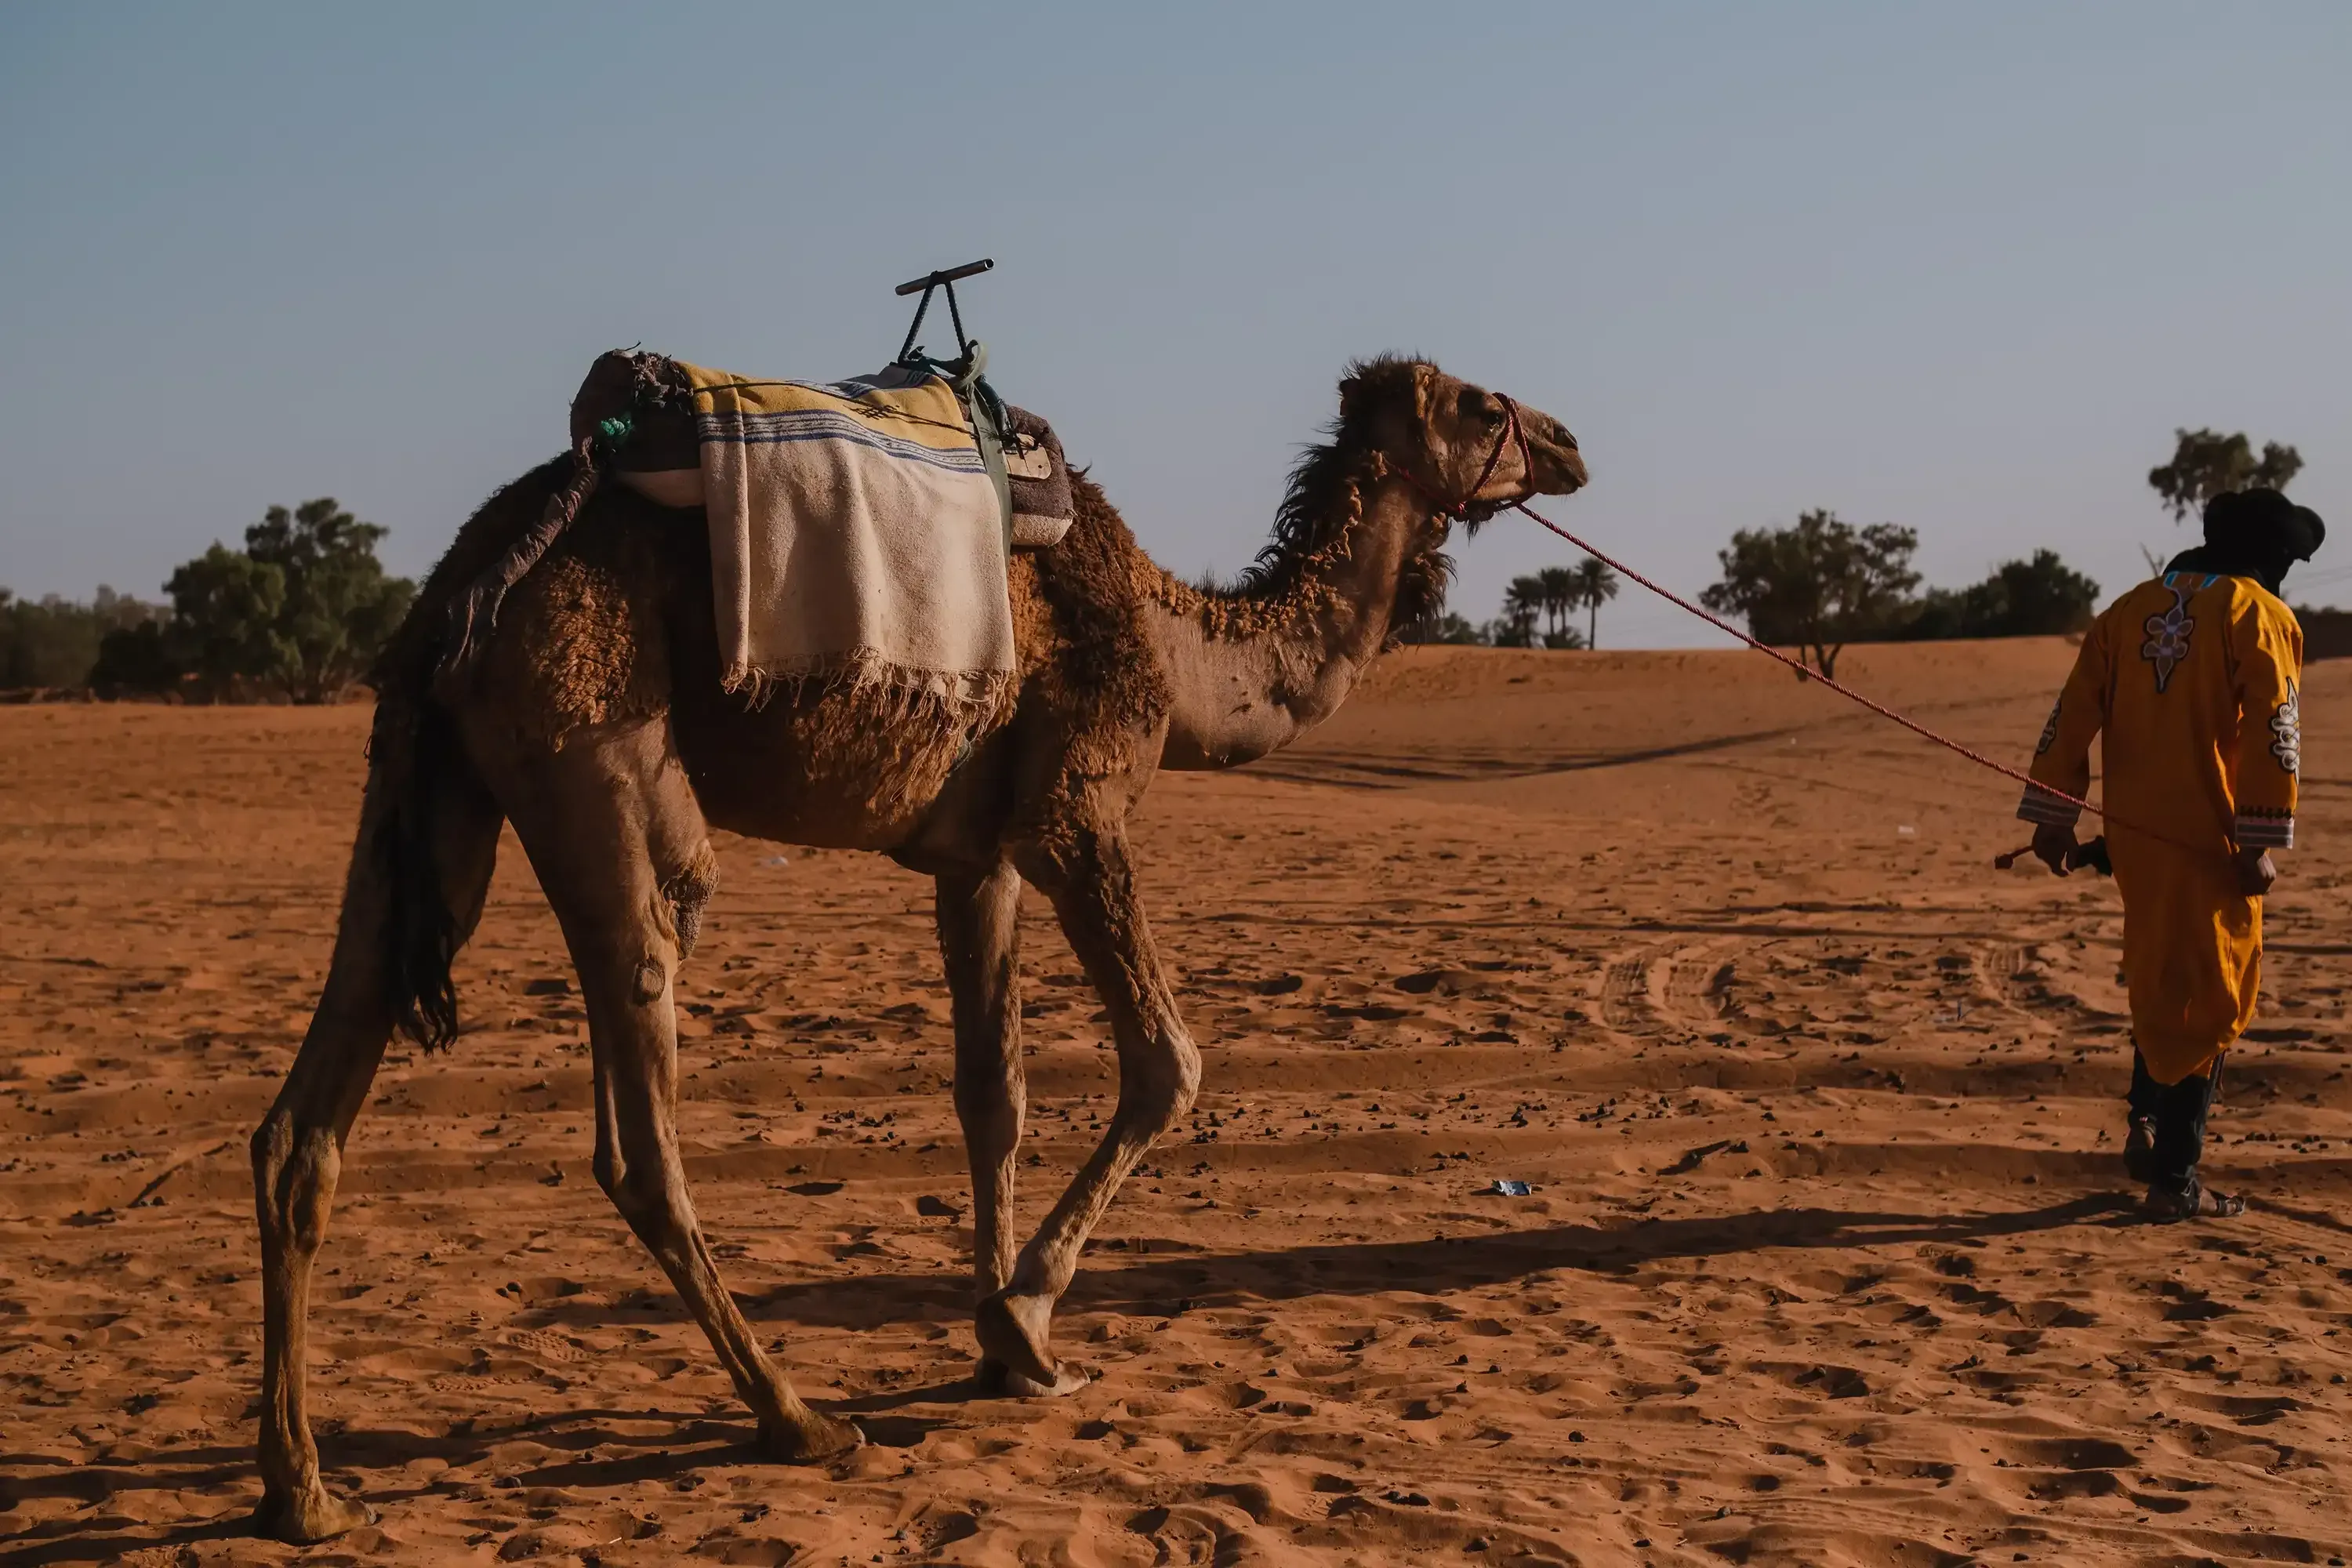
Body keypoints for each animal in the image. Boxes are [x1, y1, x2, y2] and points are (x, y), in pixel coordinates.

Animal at [247, 355, 1587, 1541]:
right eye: (1483, 404)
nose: (1570, 446)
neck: (1181, 648)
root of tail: (465, 580)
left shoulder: (973, 857)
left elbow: (992, 1093)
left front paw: (1009, 1352)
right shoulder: (1076, 811)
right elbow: (1169, 1063)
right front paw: (1026, 1319)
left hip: (430, 795)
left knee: (303, 1123)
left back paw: (302, 1491)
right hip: (592, 752)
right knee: (638, 1137)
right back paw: (796, 1419)